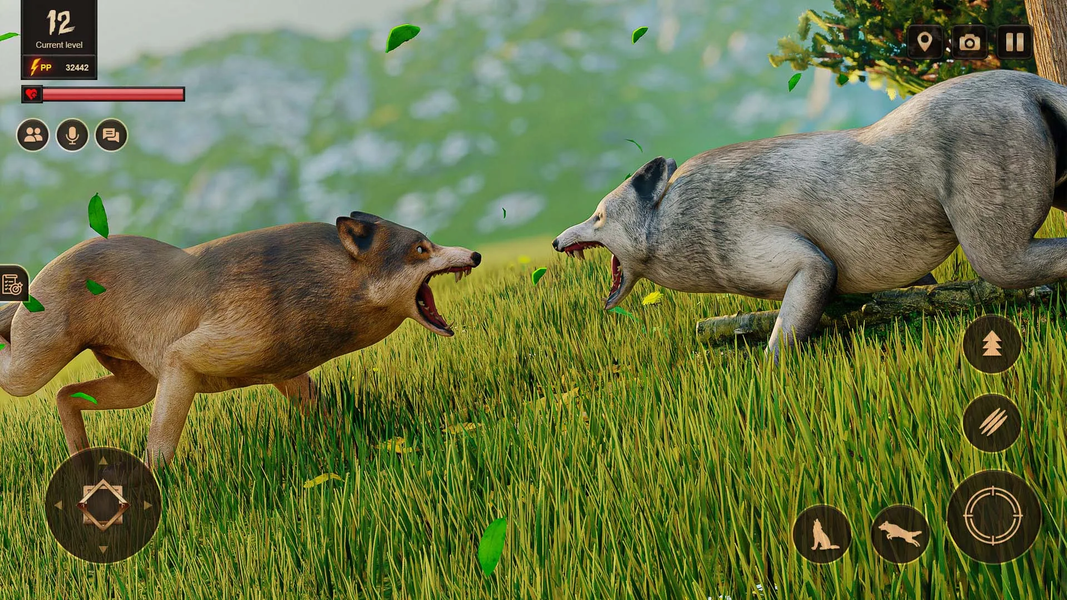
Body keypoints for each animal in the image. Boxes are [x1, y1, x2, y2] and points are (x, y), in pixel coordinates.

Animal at [0, 212, 480, 468]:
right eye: (421, 249)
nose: (475, 254)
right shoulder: (183, 359)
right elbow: (161, 444)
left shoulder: (286, 372)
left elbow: (332, 418)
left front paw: (363, 447)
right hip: (31, 369)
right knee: (22, 374)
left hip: (137, 386)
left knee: (65, 395)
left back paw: (79, 454)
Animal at [553, 70, 1067, 359]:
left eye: (597, 217)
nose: (556, 241)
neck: (681, 219)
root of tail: (1027, 82)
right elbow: (911, 291)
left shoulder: (806, 263)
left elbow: (784, 336)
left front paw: (767, 378)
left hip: (997, 251)